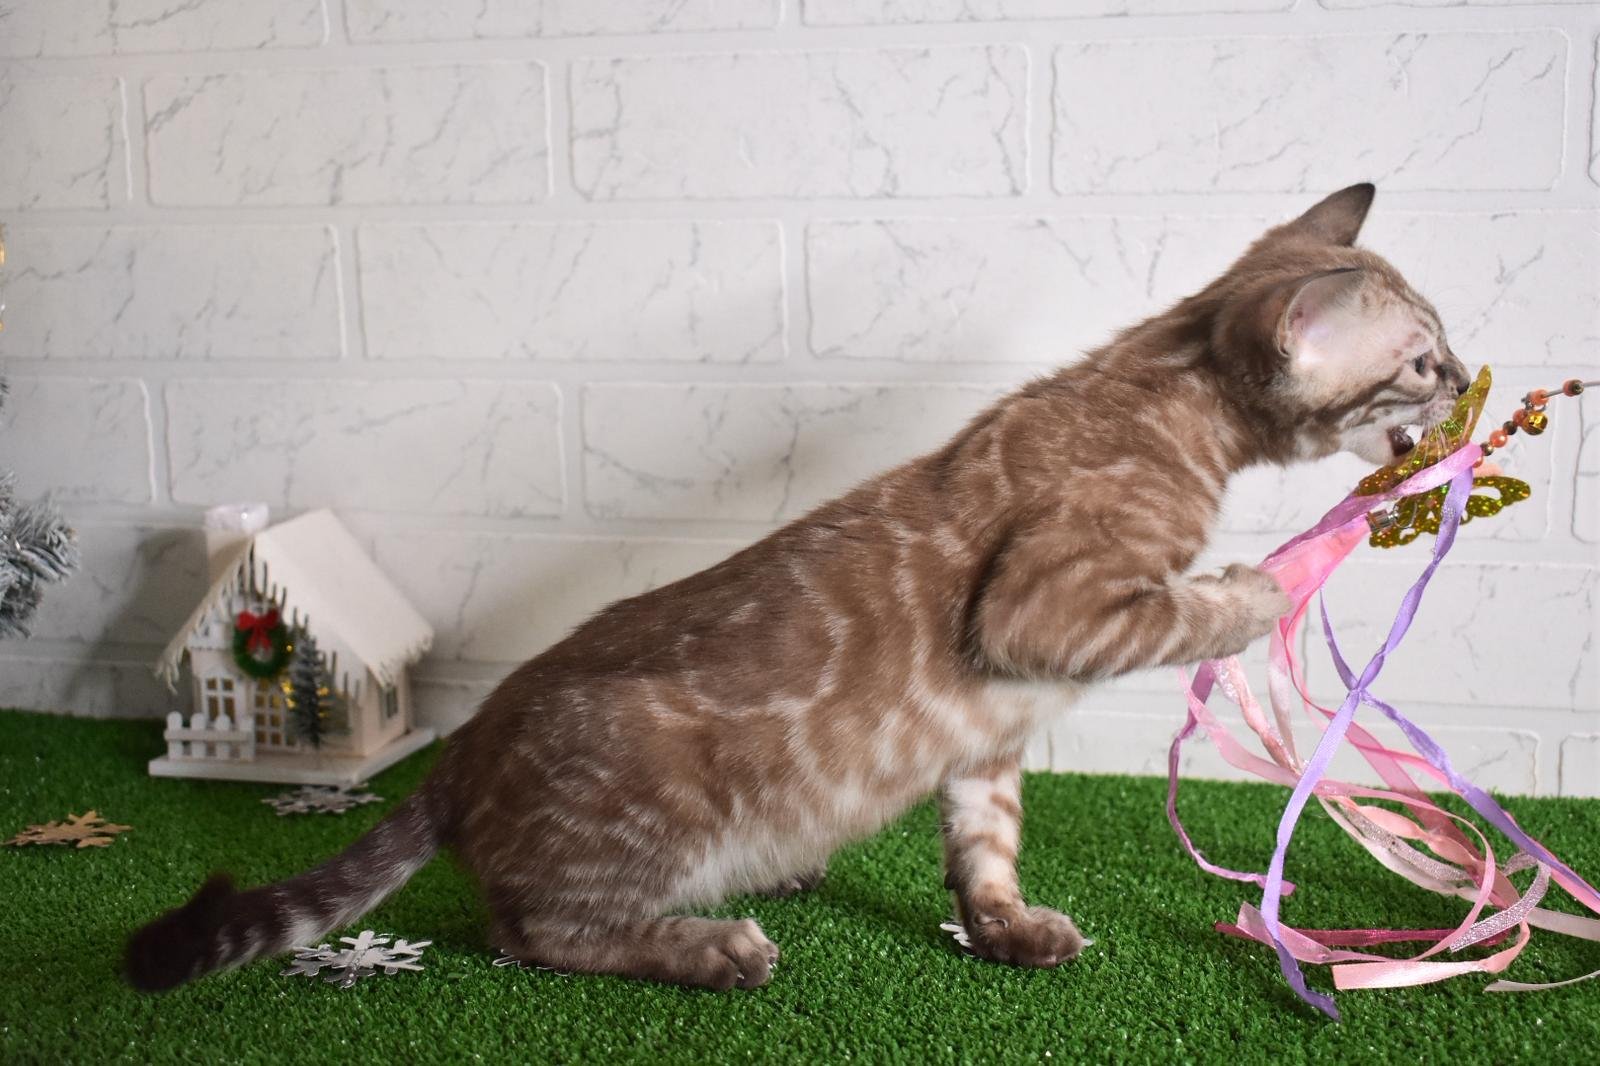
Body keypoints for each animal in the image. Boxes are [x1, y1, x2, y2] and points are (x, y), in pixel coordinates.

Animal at [127, 183, 1471, 992]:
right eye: (1420, 360)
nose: (1465, 383)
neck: (1160, 391)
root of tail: (461, 751)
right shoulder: (1039, 609)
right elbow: (1188, 604)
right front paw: (1255, 592)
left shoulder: (988, 734)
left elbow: (986, 848)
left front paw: (1007, 928)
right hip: (643, 800)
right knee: (534, 927)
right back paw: (707, 942)